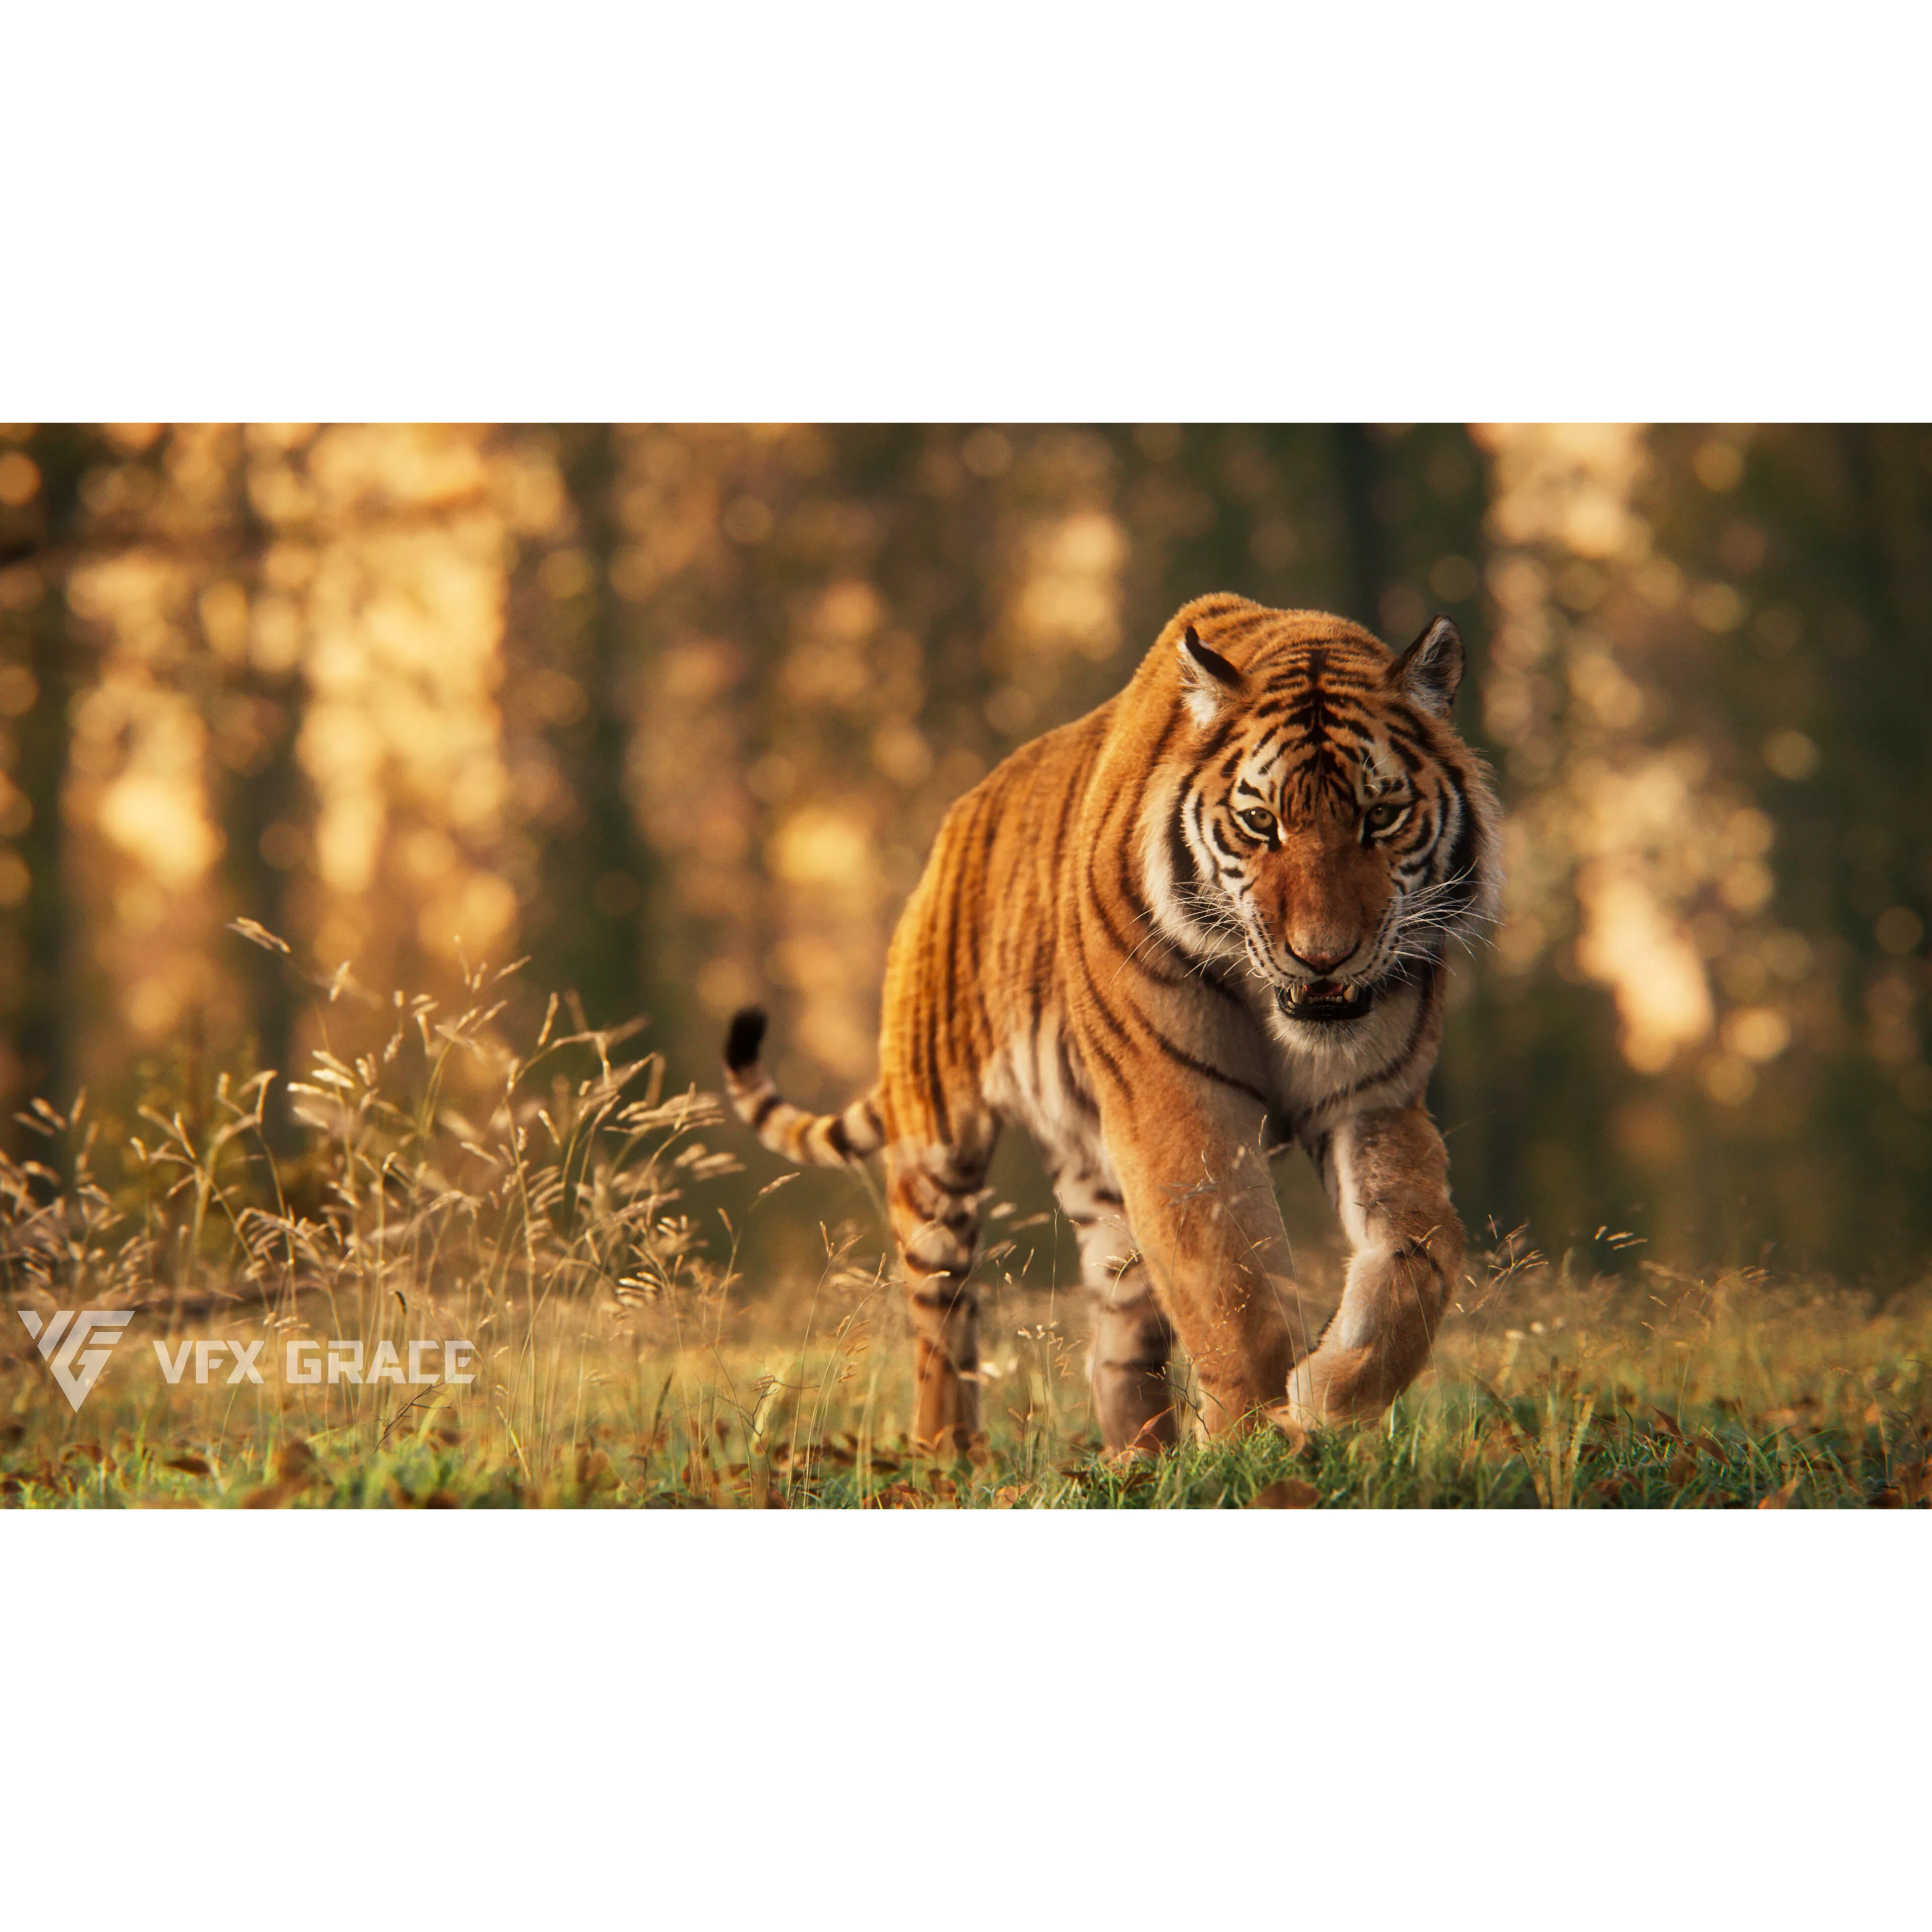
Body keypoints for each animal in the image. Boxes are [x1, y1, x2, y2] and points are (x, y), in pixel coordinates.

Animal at [723, 593, 1502, 1456]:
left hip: (1098, 1184)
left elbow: (1420, 1248)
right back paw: (946, 1456)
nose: (1323, 957)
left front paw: (1329, 1394)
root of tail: (952, 828)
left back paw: (1140, 1460)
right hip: (938, 1152)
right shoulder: (1177, 1107)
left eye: (1383, 815)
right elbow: (1231, 1285)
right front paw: (1255, 1442)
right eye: (1260, 822)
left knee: (1119, 1341)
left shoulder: (1374, 1102)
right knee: (940, 1324)